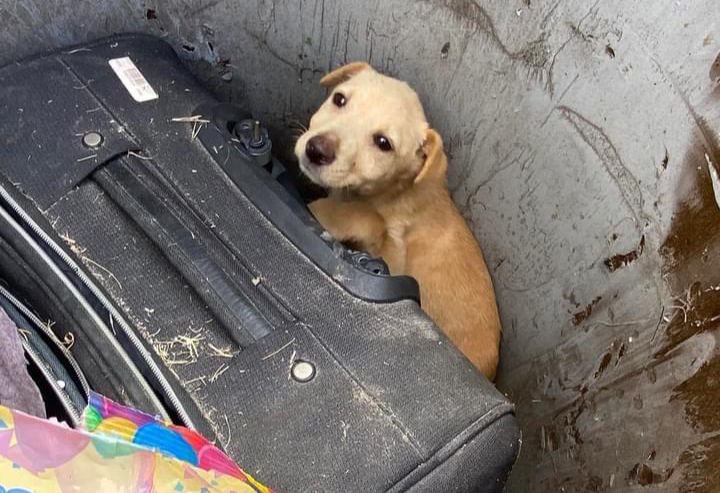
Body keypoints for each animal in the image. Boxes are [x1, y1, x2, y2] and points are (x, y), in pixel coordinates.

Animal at [296, 62, 504, 380]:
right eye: (339, 99)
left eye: (384, 143)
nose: (317, 150)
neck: (392, 190)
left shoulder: (393, 258)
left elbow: (363, 216)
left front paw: (320, 209)